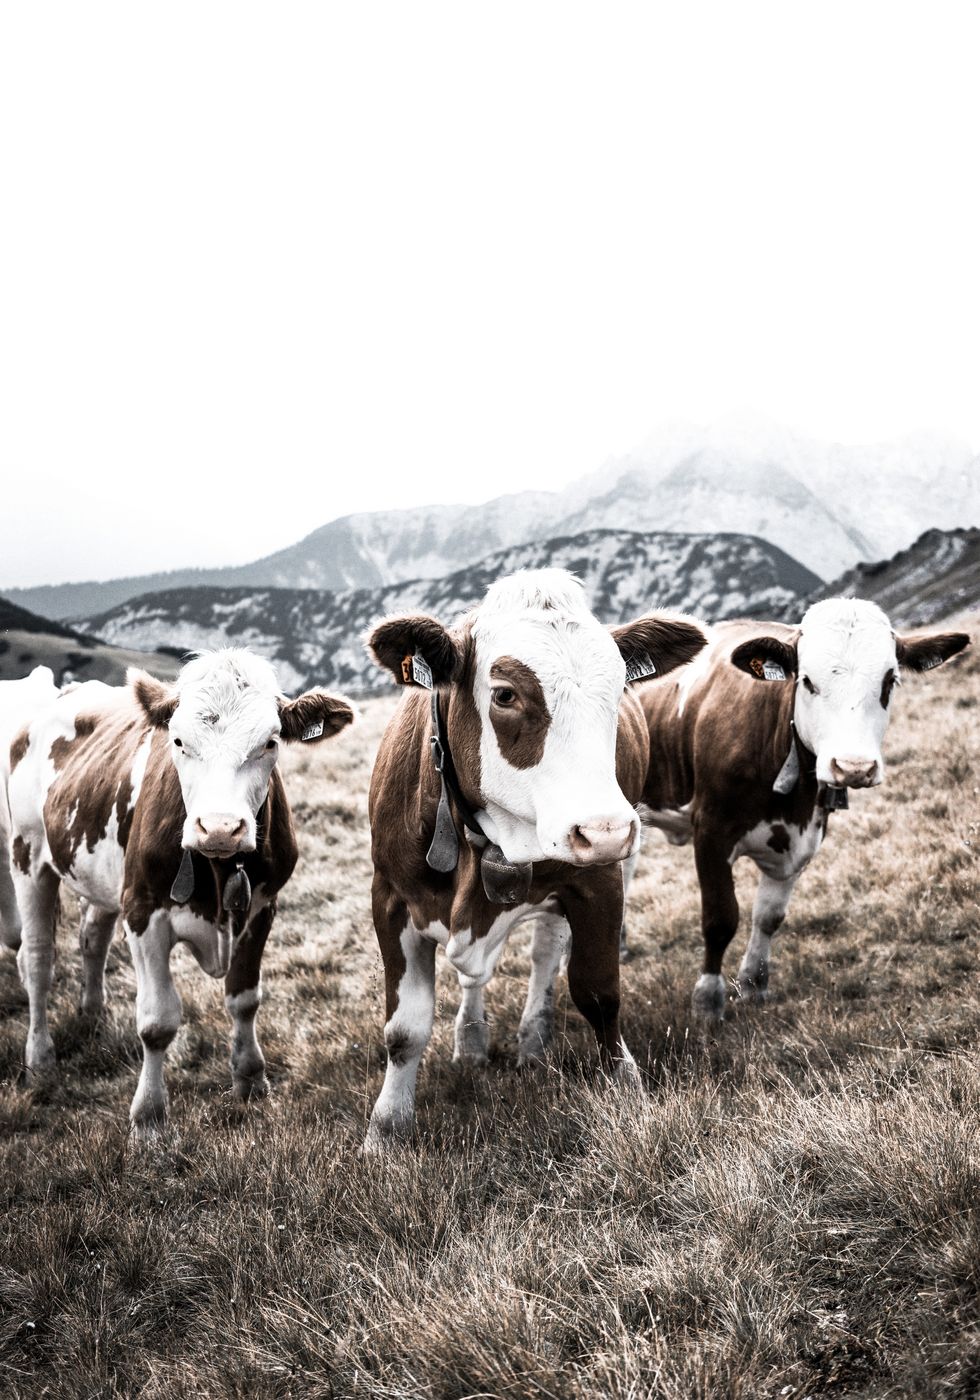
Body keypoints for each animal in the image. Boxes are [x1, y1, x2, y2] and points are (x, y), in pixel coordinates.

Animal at [6, 649, 354, 1133]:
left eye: (270, 743)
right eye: (178, 741)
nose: (220, 827)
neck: (218, 867)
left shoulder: (261, 909)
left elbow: (244, 999)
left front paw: (251, 1079)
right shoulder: (143, 912)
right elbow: (157, 1022)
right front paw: (149, 1116)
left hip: (104, 876)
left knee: (92, 937)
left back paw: (91, 1015)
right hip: (28, 854)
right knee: (37, 960)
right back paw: (40, 1060)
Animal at [362, 568, 708, 1150]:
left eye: (620, 686)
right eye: (504, 694)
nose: (605, 830)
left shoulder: (599, 881)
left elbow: (598, 992)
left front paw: (627, 1089)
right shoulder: (388, 896)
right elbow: (404, 1028)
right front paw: (386, 1129)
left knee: (547, 953)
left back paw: (532, 1036)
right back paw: (472, 1041)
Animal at [630, 598, 969, 1019]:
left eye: (890, 681)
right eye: (807, 681)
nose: (853, 766)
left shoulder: (803, 838)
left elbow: (769, 917)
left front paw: (754, 985)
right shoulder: (710, 829)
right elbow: (720, 918)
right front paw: (708, 1000)